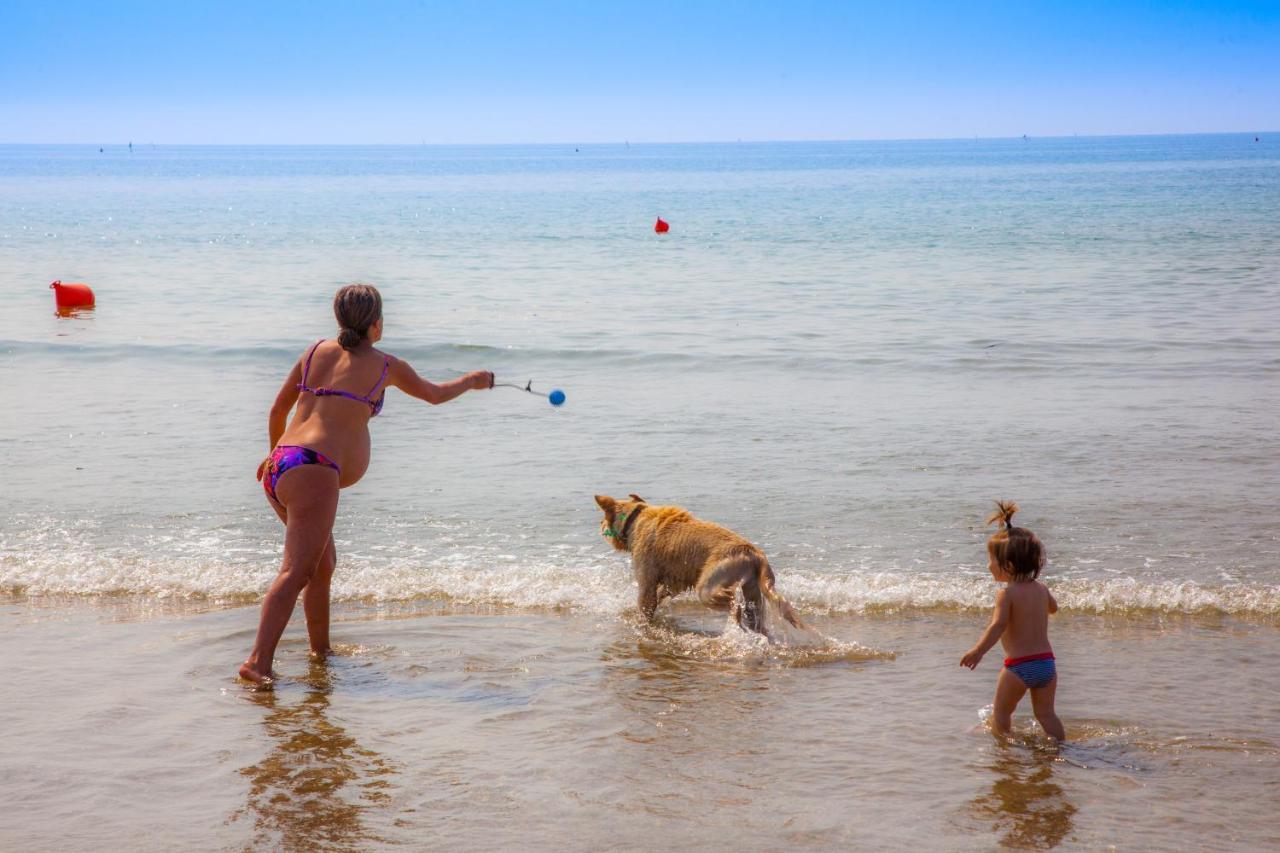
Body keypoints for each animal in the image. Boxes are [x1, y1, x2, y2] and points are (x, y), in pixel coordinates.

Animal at [593, 491, 803, 630]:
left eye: (603, 518)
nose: (600, 525)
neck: (635, 520)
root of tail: (755, 553)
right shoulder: (673, 580)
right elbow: (663, 592)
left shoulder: (646, 578)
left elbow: (646, 602)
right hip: (752, 588)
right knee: (754, 615)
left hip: (710, 583)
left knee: (733, 603)